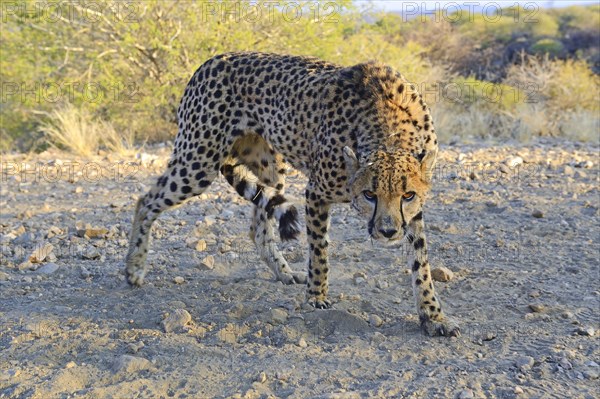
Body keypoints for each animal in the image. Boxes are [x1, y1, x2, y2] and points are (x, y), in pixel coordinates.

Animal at [126, 51, 462, 336]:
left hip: (269, 166)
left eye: (407, 196)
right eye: (369, 194)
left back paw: (284, 272)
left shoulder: (413, 212)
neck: (389, 131)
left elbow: (421, 263)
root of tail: (212, 60)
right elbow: (319, 251)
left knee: (258, 227)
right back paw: (134, 268)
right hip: (198, 161)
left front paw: (433, 316)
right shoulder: (316, 192)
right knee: (146, 201)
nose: (388, 231)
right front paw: (316, 296)